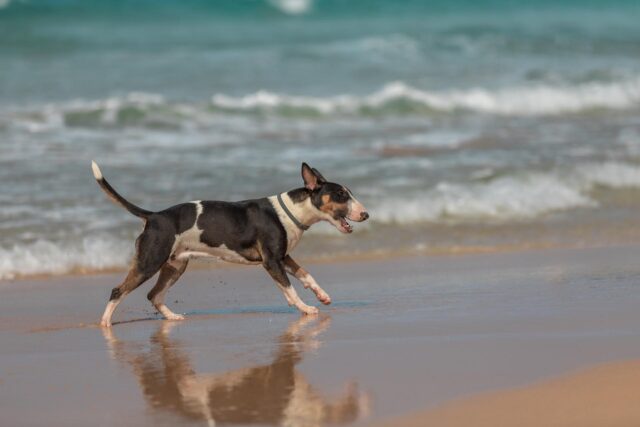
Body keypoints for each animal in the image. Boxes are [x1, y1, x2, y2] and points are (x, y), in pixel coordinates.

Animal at [92, 163, 368, 328]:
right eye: (341, 195)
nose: (365, 215)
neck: (291, 211)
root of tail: (154, 216)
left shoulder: (283, 257)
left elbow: (306, 275)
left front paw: (322, 295)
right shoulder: (271, 261)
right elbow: (289, 288)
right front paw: (305, 307)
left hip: (175, 266)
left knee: (154, 295)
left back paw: (172, 317)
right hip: (150, 261)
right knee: (118, 291)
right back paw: (105, 324)